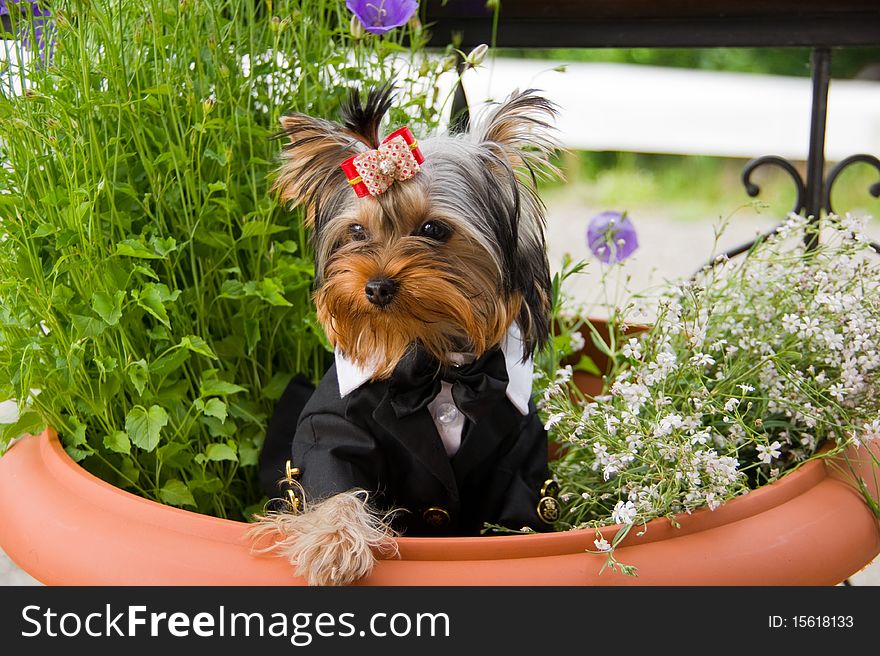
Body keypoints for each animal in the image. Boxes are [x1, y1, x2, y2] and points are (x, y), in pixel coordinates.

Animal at [251, 83, 560, 584]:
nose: (376, 286)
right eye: (357, 232)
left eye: (433, 229)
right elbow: (332, 479)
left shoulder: (520, 450)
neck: (435, 363)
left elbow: (519, 515)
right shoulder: (331, 425)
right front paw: (334, 545)